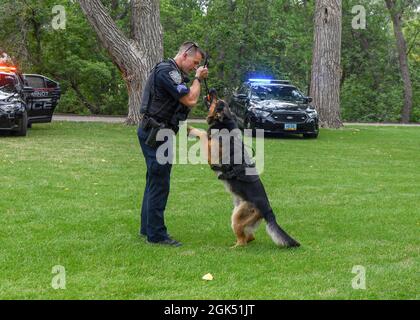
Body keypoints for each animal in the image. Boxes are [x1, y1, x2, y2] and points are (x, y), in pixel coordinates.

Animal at [187, 90, 298, 248]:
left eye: (217, 101)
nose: (212, 90)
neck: (224, 122)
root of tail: (268, 211)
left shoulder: (212, 153)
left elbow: (203, 134)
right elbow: (202, 132)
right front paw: (189, 128)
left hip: (237, 218)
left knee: (243, 241)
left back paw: (233, 248)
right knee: (250, 237)